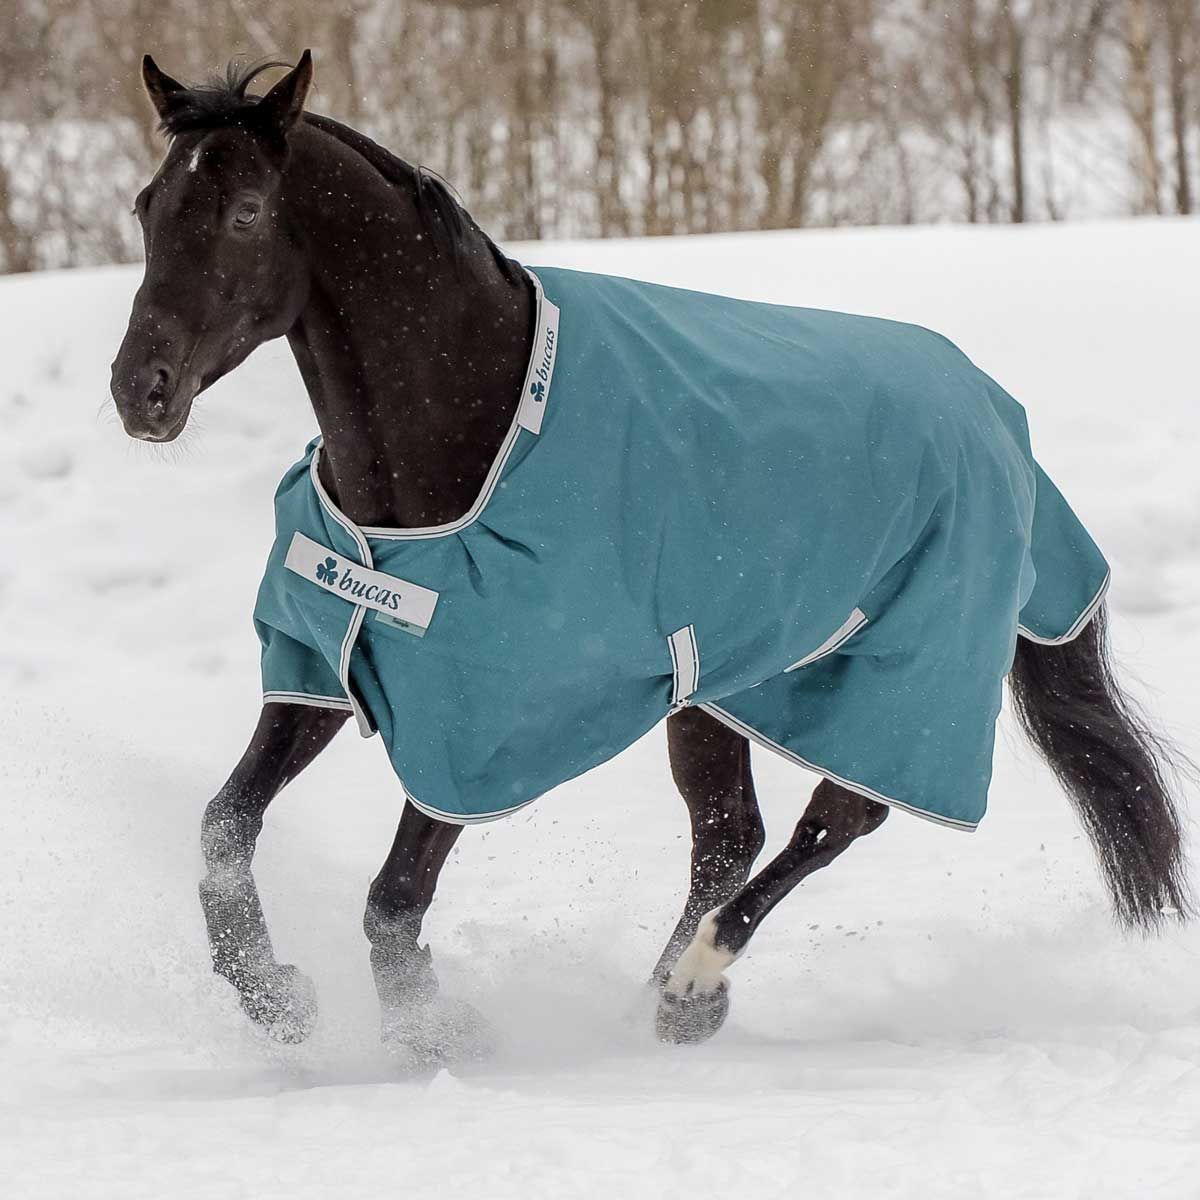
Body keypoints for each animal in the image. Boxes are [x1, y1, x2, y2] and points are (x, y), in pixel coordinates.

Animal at [109, 52, 1191, 1058]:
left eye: (248, 211)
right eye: (148, 206)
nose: (139, 390)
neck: (464, 430)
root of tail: (999, 415)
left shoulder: (494, 722)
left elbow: (393, 897)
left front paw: (434, 1029)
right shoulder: (328, 661)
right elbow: (223, 829)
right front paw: (275, 995)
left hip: (906, 679)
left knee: (836, 818)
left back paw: (693, 987)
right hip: (716, 683)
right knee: (730, 834)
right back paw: (664, 1005)